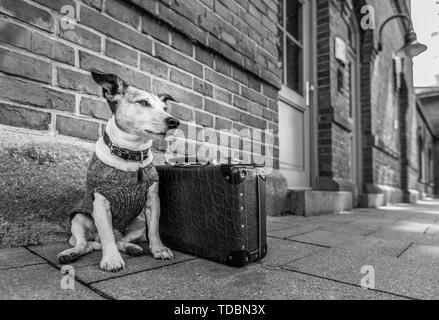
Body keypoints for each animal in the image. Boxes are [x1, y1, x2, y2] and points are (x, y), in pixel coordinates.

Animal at [58, 70, 180, 272]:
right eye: (143, 103)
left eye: (164, 107)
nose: (174, 121)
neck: (131, 154)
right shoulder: (100, 203)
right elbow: (107, 234)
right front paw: (112, 259)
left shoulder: (153, 201)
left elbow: (154, 230)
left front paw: (159, 250)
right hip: (79, 219)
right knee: (86, 244)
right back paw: (71, 254)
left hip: (138, 223)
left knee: (120, 241)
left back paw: (132, 248)